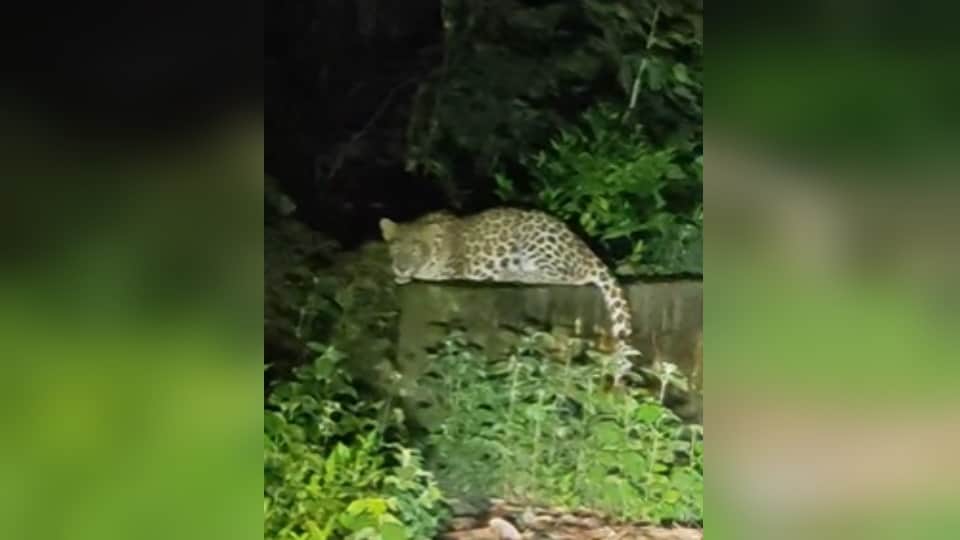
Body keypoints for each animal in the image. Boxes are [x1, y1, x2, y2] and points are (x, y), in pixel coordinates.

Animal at [379, 207, 640, 375]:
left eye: (416, 248)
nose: (401, 266)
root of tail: (586, 249)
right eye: (395, 247)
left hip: (537, 238)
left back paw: (512, 274)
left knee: (573, 277)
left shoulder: (451, 271)